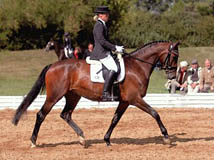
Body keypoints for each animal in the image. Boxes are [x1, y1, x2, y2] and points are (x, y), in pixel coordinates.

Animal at [11, 41, 179, 148]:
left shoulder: (125, 101)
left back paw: (81, 138)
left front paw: (107, 140)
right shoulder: (135, 99)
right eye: (174, 56)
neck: (137, 66)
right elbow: (155, 113)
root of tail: (52, 65)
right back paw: (33, 142)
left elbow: (115, 119)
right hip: (54, 96)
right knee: (41, 114)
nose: (172, 76)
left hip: (73, 96)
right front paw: (166, 137)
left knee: (66, 114)